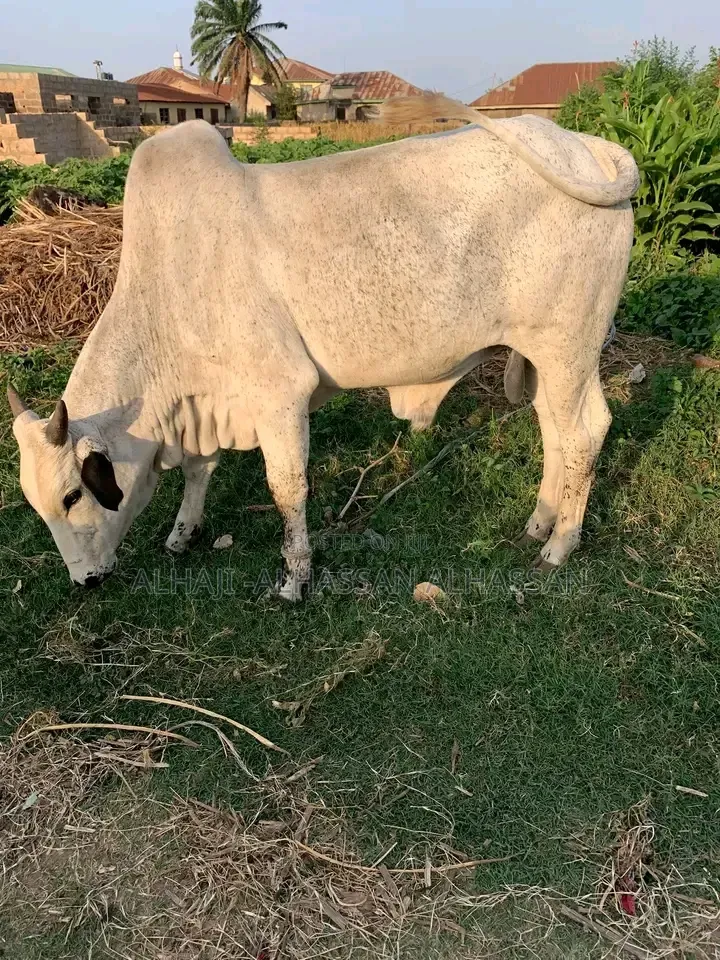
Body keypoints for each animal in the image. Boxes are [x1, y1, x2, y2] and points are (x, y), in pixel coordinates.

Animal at [7, 93, 638, 600]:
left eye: (72, 496)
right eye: (38, 505)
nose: (85, 580)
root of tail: (590, 147)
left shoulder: (279, 391)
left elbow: (286, 489)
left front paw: (295, 578)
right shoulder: (212, 397)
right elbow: (200, 469)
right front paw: (183, 533)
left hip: (567, 348)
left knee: (585, 433)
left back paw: (560, 545)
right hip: (548, 357)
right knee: (556, 430)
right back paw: (541, 521)